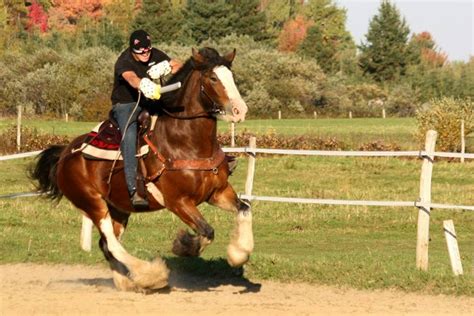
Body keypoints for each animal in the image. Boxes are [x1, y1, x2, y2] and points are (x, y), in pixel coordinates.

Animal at [30, 48, 254, 292]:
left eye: (231, 76)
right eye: (213, 78)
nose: (239, 110)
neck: (185, 141)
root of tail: (65, 154)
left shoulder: (218, 192)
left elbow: (244, 209)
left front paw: (238, 253)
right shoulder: (178, 202)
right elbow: (206, 231)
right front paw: (183, 245)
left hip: (118, 207)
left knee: (107, 245)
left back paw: (127, 282)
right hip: (91, 203)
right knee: (111, 242)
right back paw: (151, 274)